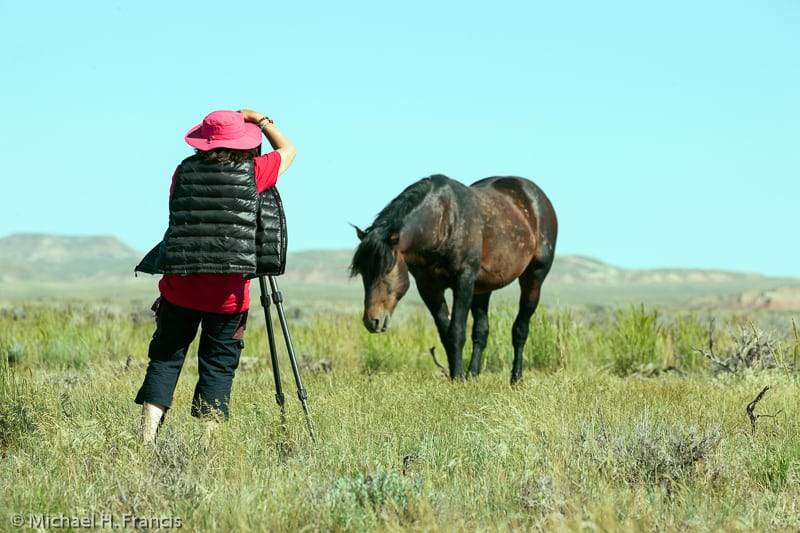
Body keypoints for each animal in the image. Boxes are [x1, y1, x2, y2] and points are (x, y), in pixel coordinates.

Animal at [350, 174, 556, 382]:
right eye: (363, 273)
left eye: (387, 270)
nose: (372, 321)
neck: (443, 220)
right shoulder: (428, 287)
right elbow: (445, 332)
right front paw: (456, 375)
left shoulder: (463, 281)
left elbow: (457, 331)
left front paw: (458, 377)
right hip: (482, 288)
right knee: (481, 331)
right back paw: (473, 375)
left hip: (534, 277)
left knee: (520, 329)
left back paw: (516, 378)